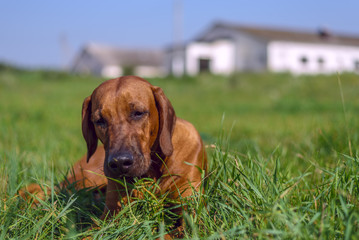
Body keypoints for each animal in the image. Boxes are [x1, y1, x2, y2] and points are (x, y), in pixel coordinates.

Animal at [20, 76, 208, 237]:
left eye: (138, 113)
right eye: (99, 120)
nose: (119, 163)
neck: (152, 171)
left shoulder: (190, 214)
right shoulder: (110, 215)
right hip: (84, 179)